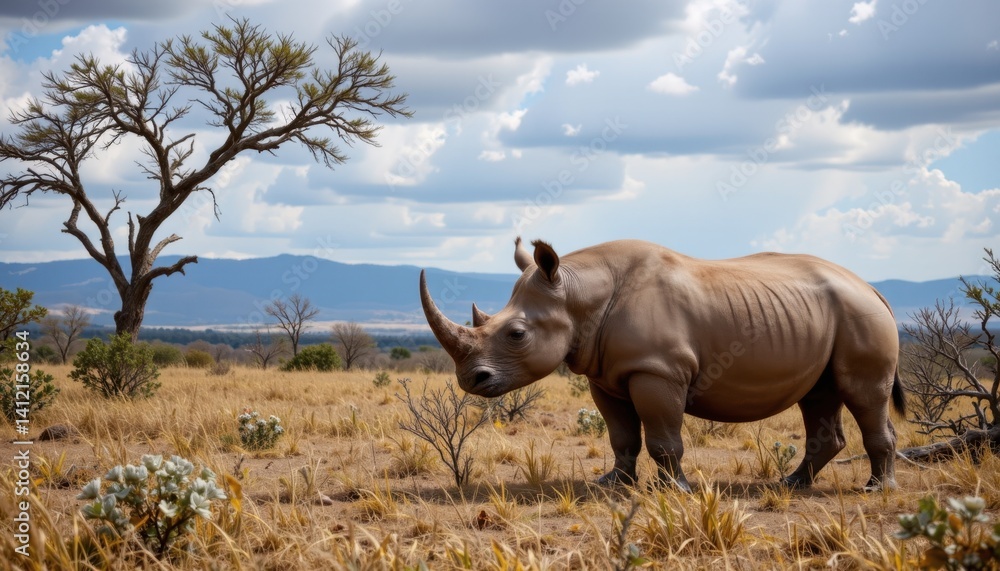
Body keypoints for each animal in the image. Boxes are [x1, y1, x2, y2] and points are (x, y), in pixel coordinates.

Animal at [419, 238, 905, 491]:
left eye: (516, 334)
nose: (471, 380)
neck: (577, 293)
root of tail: (874, 289)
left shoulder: (657, 369)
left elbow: (663, 438)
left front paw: (675, 491)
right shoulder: (606, 374)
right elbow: (621, 435)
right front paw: (612, 484)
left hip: (860, 314)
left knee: (863, 392)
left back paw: (876, 489)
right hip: (826, 317)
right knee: (820, 394)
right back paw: (791, 485)